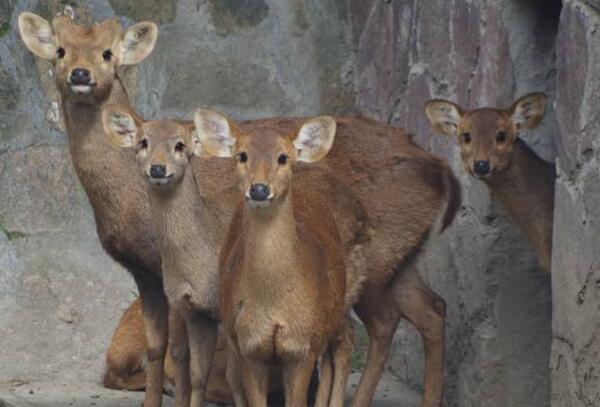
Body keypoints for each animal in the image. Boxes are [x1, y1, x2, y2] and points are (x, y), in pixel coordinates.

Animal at [196, 111, 356, 407]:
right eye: (242, 155)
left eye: (283, 157)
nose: (259, 189)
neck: (274, 304)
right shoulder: (249, 346)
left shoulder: (302, 347)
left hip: (338, 306)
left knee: (343, 344)